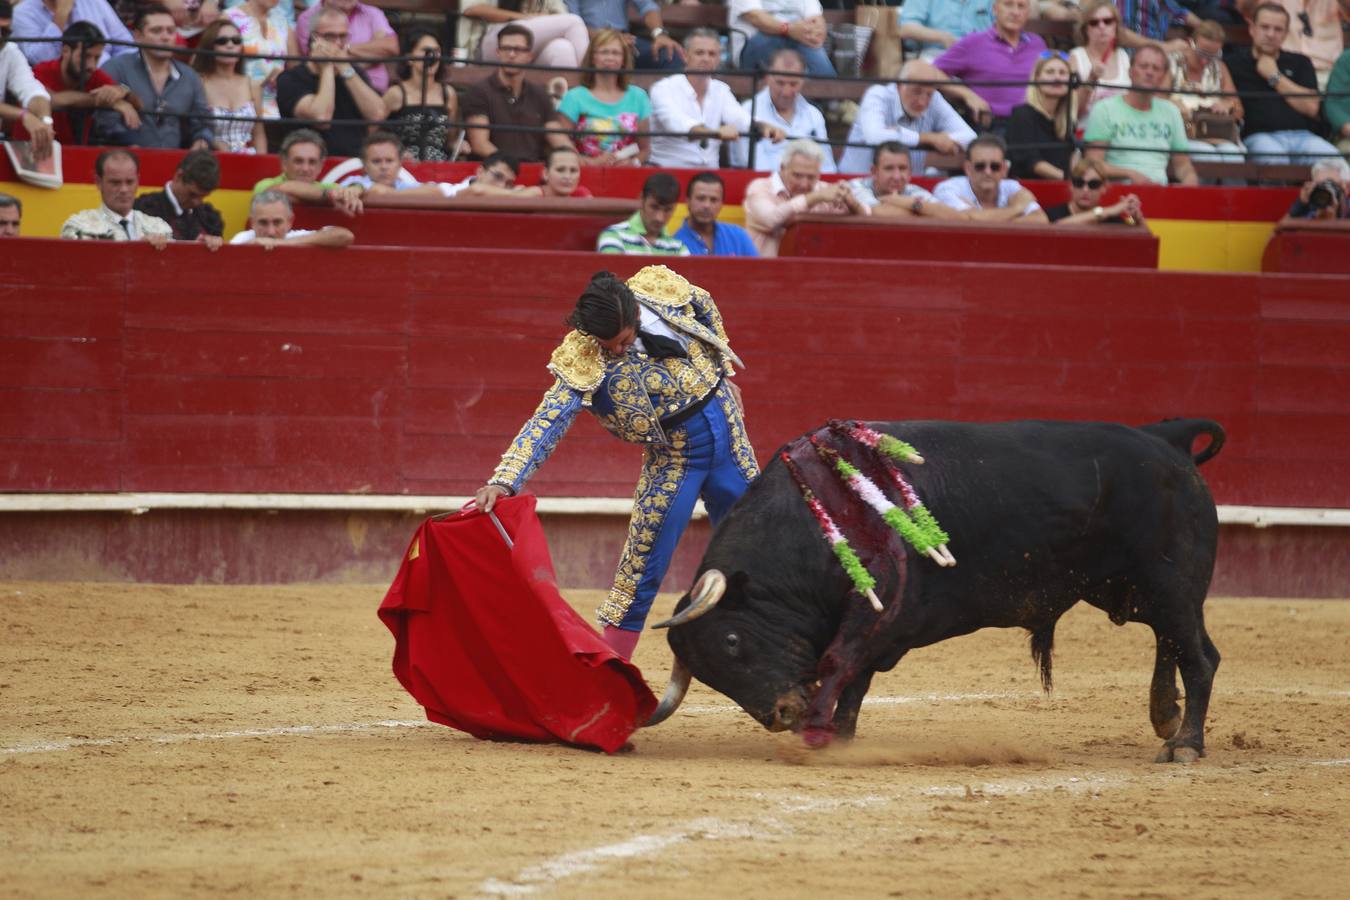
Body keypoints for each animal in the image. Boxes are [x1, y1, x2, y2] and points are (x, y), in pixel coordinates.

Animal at [642, 418, 1225, 766]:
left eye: (732, 641)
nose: (782, 714)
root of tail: (1167, 440)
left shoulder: (873, 616)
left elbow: (844, 668)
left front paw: (827, 737)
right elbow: (854, 681)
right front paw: (841, 737)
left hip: (1170, 583)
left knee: (1198, 656)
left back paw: (1184, 744)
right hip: (1127, 589)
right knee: (1175, 642)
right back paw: (1163, 715)